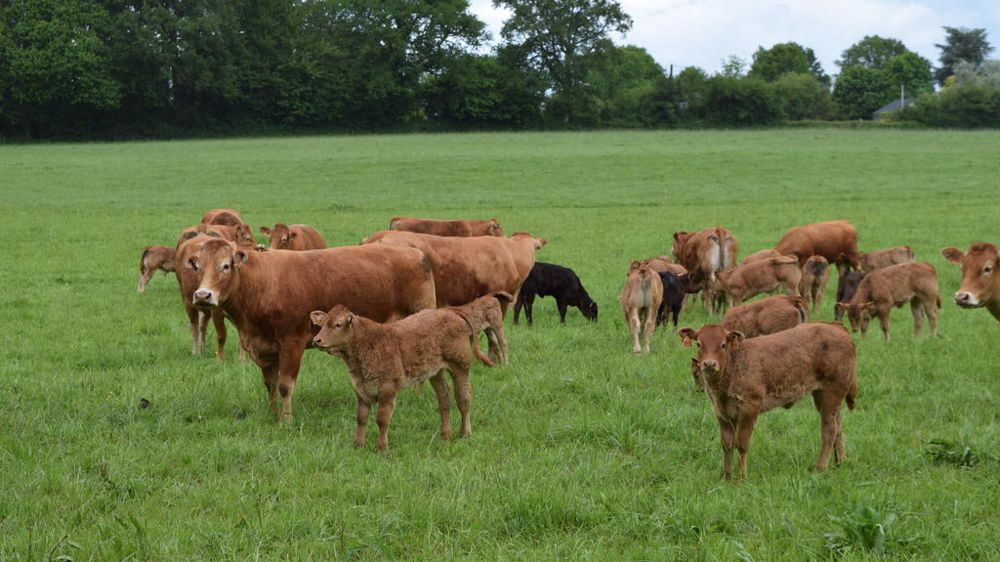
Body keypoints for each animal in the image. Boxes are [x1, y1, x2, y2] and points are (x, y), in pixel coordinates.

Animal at [186, 239, 437, 422]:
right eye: (198, 267)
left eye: (225, 266)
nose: (203, 295)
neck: (262, 285)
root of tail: (415, 252)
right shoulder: (264, 348)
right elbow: (270, 385)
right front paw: (273, 415)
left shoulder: (292, 343)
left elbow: (285, 386)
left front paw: (287, 421)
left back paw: (418, 396)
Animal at [311, 305, 491, 450]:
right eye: (321, 324)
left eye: (338, 324)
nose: (316, 340)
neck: (367, 344)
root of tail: (449, 311)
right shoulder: (361, 390)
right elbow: (361, 417)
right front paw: (358, 445)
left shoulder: (388, 389)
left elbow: (382, 419)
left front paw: (382, 447)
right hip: (436, 371)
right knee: (444, 399)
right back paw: (445, 435)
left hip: (461, 366)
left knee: (463, 399)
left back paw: (465, 434)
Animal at [678, 323, 857, 479]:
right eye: (699, 344)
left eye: (723, 344)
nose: (709, 364)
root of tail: (838, 328)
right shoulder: (722, 413)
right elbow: (727, 444)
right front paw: (726, 477)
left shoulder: (749, 409)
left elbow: (741, 444)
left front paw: (741, 477)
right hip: (825, 397)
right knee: (838, 427)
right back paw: (841, 462)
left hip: (831, 394)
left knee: (829, 430)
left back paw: (820, 468)